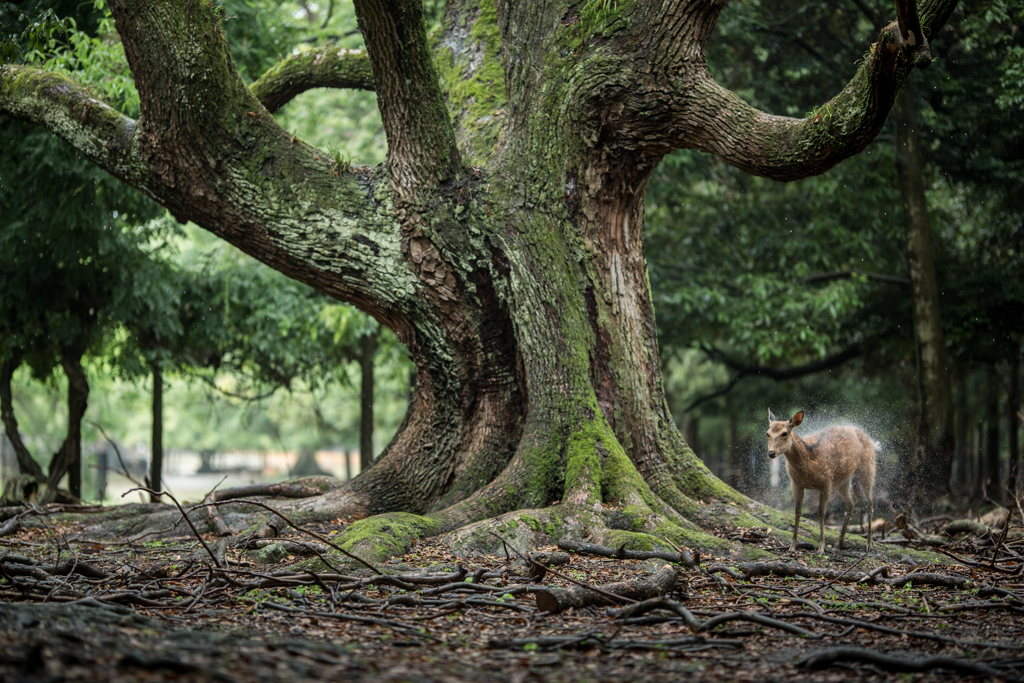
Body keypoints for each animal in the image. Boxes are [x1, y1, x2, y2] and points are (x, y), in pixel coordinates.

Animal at [765, 409, 876, 552]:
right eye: (767, 433)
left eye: (784, 433)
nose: (771, 453)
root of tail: (868, 437)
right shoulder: (796, 483)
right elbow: (797, 511)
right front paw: (792, 546)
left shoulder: (826, 482)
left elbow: (821, 513)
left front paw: (821, 547)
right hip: (842, 480)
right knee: (852, 500)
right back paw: (838, 543)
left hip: (868, 467)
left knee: (869, 501)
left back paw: (869, 543)